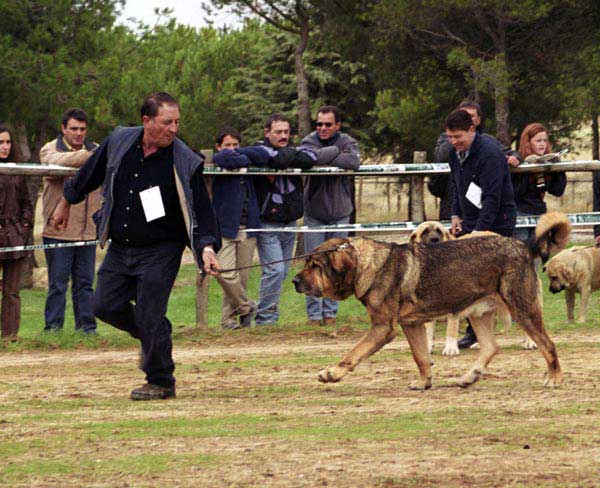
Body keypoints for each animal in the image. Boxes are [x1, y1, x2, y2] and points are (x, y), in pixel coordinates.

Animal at [292, 212, 568, 390]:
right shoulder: (412, 325)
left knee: (548, 344)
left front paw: (331, 373)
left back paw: (554, 378)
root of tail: (524, 246)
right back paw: (469, 377)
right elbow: (421, 357)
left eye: (315, 266)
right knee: (491, 347)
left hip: (523, 310)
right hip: (479, 314)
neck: (365, 263)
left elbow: (353, 353)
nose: (294, 281)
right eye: (307, 263)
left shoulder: (383, 328)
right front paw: (424, 382)